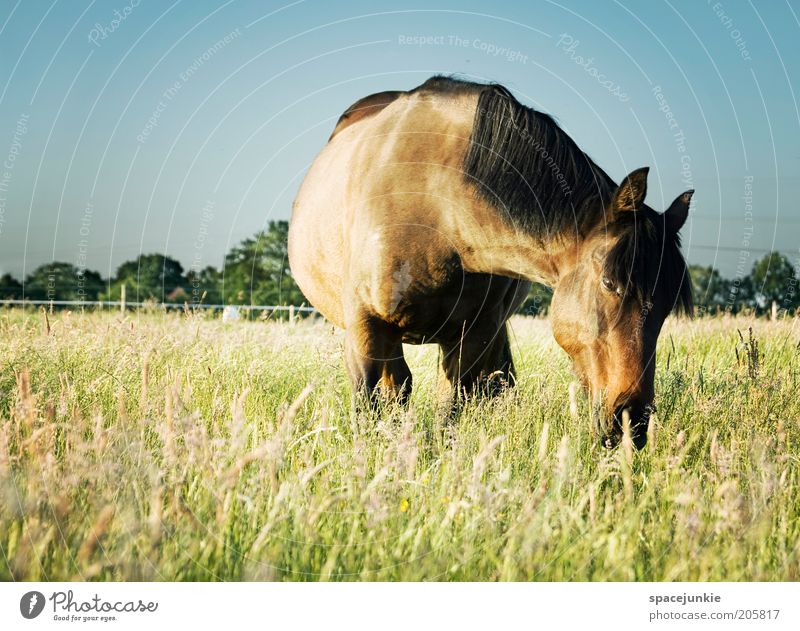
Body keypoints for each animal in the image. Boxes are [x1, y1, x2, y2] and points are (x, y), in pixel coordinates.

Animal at [290, 75, 692, 450]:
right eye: (610, 283)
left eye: (667, 305)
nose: (632, 420)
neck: (437, 207)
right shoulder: (366, 328)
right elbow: (367, 408)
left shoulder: (475, 334)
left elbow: (449, 414)